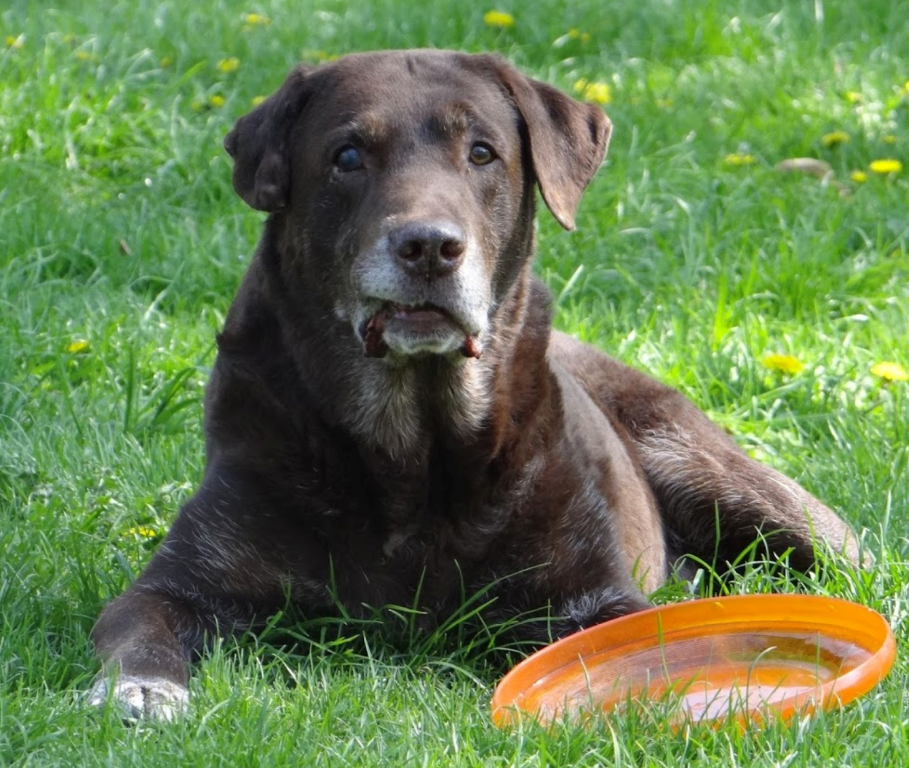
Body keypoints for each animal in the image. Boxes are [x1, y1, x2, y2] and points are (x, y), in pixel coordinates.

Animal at [87, 49, 860, 720]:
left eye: (482, 153)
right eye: (347, 156)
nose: (429, 246)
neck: (413, 450)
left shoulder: (593, 597)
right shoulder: (186, 578)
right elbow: (140, 623)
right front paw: (140, 691)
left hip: (732, 484)